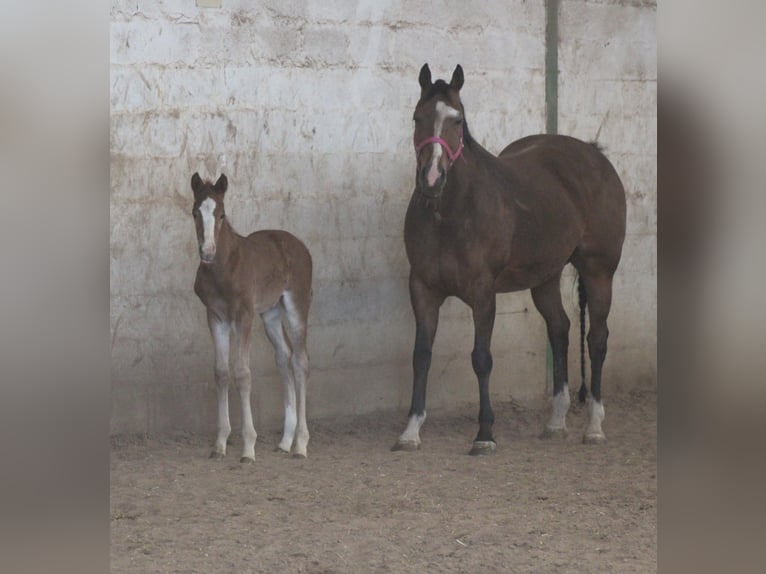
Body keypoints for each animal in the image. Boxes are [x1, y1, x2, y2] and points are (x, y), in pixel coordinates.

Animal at [190, 173, 313, 461]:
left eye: (222, 214)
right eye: (195, 213)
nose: (207, 252)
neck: (223, 268)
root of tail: (300, 246)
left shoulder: (243, 315)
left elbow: (243, 373)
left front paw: (248, 446)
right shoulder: (215, 317)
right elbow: (221, 372)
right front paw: (220, 443)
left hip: (296, 305)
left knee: (300, 361)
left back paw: (300, 444)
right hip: (270, 314)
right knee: (284, 358)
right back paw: (285, 440)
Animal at [392, 64, 626, 455]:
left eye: (458, 120)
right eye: (416, 118)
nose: (432, 178)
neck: (452, 211)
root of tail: (596, 156)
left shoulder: (482, 293)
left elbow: (481, 358)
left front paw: (485, 433)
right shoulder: (423, 288)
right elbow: (420, 355)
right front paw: (411, 430)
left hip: (599, 272)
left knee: (597, 338)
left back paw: (594, 425)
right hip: (545, 277)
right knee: (560, 330)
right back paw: (556, 422)